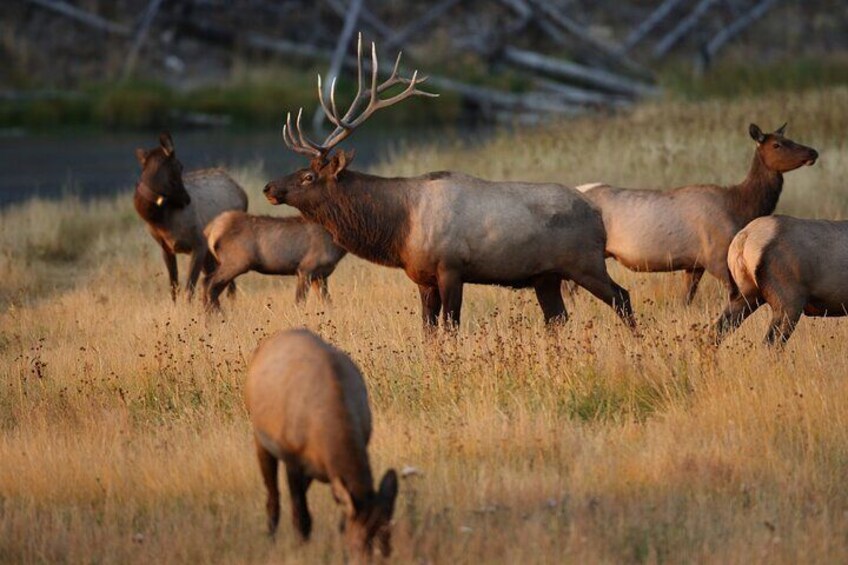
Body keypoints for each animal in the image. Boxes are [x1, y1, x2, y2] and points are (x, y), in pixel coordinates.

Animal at [131, 132, 247, 300]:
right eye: (180, 166)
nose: (187, 199)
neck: (161, 222)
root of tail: (243, 193)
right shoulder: (166, 249)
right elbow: (174, 288)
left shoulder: (199, 244)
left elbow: (189, 289)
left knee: (230, 284)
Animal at [247, 328, 400, 556]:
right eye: (359, 544)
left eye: (387, 542)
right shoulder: (294, 462)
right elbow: (301, 516)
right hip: (262, 442)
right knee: (273, 497)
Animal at [264, 34, 636, 330]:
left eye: (309, 176)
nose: (268, 188)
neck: (399, 228)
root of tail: (597, 215)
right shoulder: (422, 277)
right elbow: (428, 330)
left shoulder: (451, 268)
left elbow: (450, 327)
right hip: (547, 276)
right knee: (557, 318)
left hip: (586, 263)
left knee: (622, 297)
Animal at [576, 124, 816, 304]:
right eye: (777, 144)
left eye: (790, 138)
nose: (813, 152)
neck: (741, 207)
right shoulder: (716, 257)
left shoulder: (695, 264)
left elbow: (686, 300)